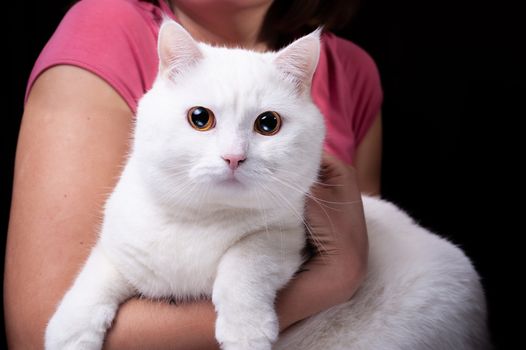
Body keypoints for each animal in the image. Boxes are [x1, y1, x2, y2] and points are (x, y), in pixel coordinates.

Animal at [44, 19, 490, 350]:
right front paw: (69, 330)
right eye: (200, 118)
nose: (234, 157)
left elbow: (245, 259)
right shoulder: (121, 248)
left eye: (268, 124)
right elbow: (94, 274)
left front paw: (245, 329)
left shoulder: (287, 238)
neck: (201, 219)